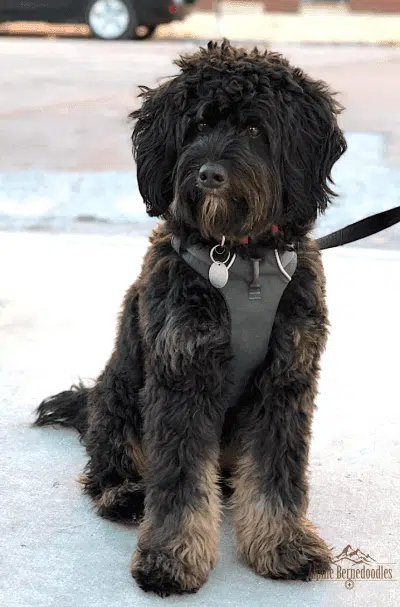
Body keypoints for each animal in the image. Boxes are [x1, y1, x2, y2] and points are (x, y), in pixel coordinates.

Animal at [34, 41, 346, 600]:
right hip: (119, 396)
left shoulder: (286, 378)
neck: (241, 258)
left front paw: (283, 544)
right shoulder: (182, 374)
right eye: (197, 126)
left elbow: (276, 473)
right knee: (108, 464)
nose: (209, 174)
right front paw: (172, 559)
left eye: (255, 129)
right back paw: (124, 493)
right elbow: (178, 483)